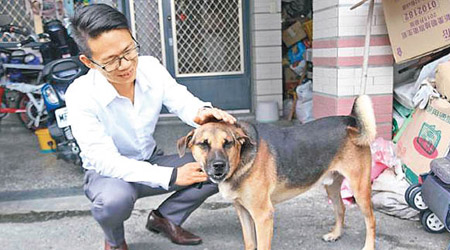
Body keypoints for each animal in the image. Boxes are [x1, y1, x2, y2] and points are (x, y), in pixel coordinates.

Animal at [178, 94, 378, 249]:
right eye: (204, 144)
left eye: (228, 143)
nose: (219, 165)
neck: (241, 162)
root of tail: (350, 119)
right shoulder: (243, 212)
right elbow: (250, 243)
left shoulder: (263, 216)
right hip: (332, 185)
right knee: (341, 208)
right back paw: (335, 234)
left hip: (360, 189)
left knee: (371, 221)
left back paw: (368, 246)